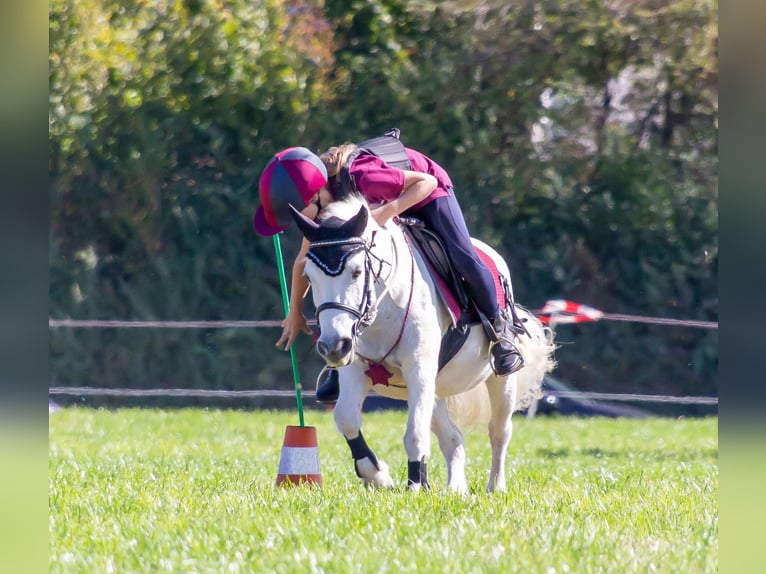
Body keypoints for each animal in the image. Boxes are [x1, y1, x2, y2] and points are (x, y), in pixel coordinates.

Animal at [292, 196, 556, 492]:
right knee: (453, 438)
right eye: (309, 277)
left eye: (357, 271)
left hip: (500, 379)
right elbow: (346, 418)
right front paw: (379, 475)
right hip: (434, 387)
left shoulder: (418, 367)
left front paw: (415, 486)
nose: (333, 347)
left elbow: (415, 434)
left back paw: (495, 486)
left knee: (499, 430)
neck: (383, 306)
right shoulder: (356, 368)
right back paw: (456, 489)